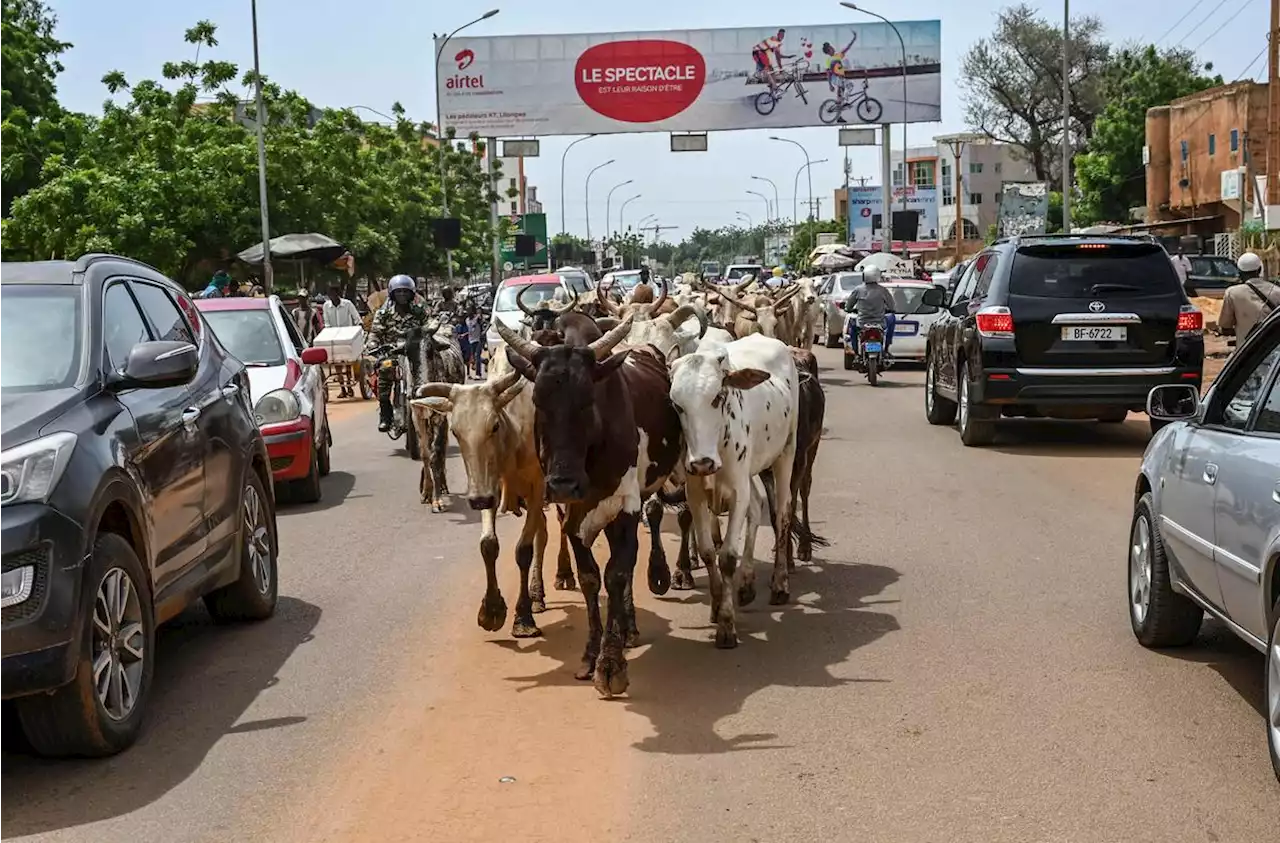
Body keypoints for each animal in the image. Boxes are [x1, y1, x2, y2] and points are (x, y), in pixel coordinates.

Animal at [494, 317, 686, 701]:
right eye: (537, 400)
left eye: (587, 401)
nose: (562, 484)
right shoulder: (572, 514)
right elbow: (589, 578)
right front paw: (590, 655)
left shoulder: (625, 505)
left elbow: (616, 574)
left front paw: (611, 665)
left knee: (629, 558)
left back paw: (629, 625)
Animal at [670, 330, 798, 647]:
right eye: (677, 405)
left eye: (718, 397)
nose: (702, 462)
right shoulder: (695, 494)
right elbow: (707, 551)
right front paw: (717, 607)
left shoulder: (738, 489)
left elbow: (727, 556)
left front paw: (727, 626)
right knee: (756, 507)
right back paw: (747, 584)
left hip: (786, 453)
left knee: (782, 513)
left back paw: (779, 584)